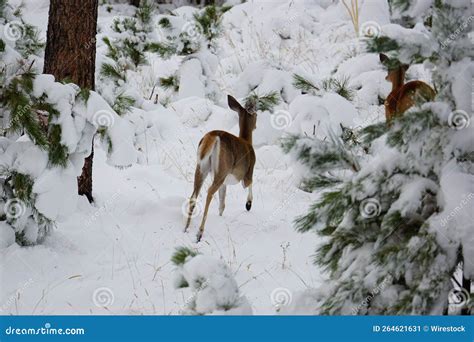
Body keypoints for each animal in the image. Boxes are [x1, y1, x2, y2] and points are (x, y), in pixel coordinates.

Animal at [184, 95, 256, 242]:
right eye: (257, 114)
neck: (247, 141)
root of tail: (212, 136)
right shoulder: (247, 173)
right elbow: (250, 183)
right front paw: (248, 204)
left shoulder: (225, 182)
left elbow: (222, 203)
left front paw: (221, 217)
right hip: (222, 170)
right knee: (209, 192)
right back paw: (199, 233)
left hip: (202, 167)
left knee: (193, 196)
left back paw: (186, 228)